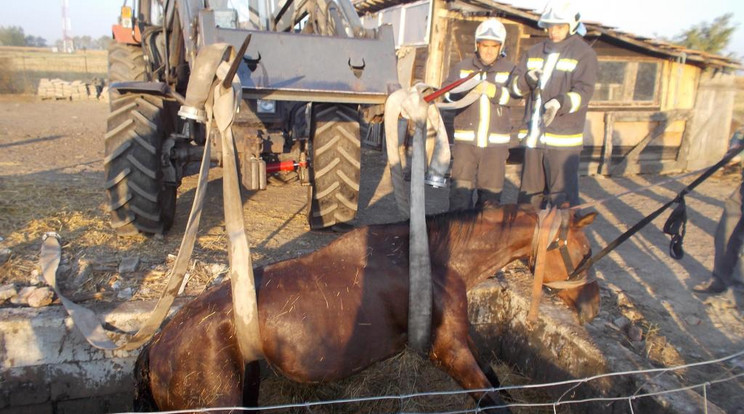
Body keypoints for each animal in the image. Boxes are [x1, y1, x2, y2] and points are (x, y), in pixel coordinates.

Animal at [134, 205, 600, 412]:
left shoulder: (463, 341)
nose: (594, 306)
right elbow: (492, 399)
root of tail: (158, 344)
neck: (435, 259)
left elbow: (497, 382)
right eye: (585, 252)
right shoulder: (449, 351)